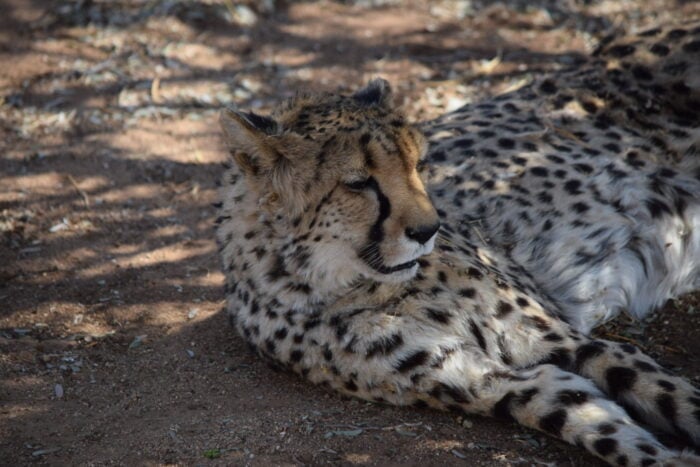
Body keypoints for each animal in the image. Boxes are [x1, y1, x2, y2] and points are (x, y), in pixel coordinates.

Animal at [215, 21, 700, 466]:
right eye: (358, 182)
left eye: (417, 164)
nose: (428, 229)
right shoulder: (492, 380)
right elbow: (600, 426)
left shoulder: (564, 338)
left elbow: (673, 395)